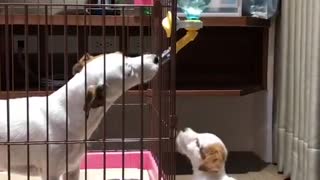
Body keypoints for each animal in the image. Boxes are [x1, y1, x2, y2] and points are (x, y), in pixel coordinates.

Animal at [0, 51, 159, 179]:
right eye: (129, 72)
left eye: (124, 55)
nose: (156, 58)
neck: (67, 114)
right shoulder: (51, 172)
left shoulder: (73, 168)